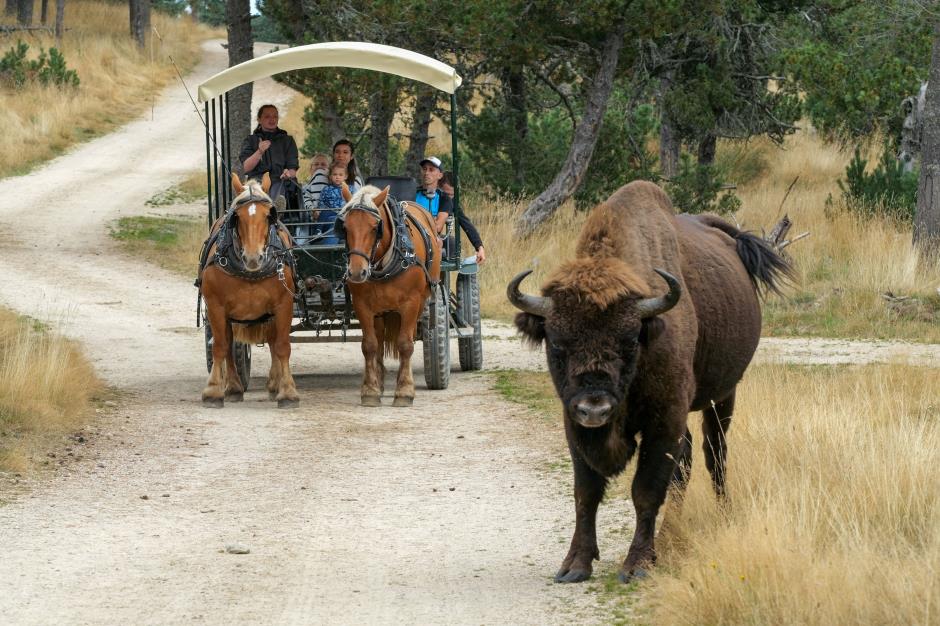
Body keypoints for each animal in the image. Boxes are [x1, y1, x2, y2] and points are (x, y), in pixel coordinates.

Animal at [199, 171, 300, 408]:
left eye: (269, 216)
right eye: (237, 217)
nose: (253, 258)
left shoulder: (283, 305)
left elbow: (282, 346)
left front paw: (287, 391)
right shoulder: (216, 307)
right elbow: (220, 346)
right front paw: (213, 390)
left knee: (272, 343)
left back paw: (274, 384)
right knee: (229, 344)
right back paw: (234, 387)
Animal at [338, 182, 440, 404]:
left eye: (375, 227)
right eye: (345, 227)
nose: (357, 272)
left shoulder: (411, 303)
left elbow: (405, 344)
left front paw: (405, 391)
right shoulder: (362, 305)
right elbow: (370, 345)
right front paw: (370, 390)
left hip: (422, 301)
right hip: (380, 311)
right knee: (379, 340)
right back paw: (380, 381)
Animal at [510, 179, 788, 580]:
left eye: (629, 340)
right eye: (557, 342)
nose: (595, 407)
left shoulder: (664, 420)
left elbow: (646, 489)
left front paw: (637, 565)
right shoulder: (573, 423)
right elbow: (586, 491)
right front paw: (575, 565)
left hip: (723, 396)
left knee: (715, 455)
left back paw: (720, 515)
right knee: (687, 463)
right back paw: (670, 533)